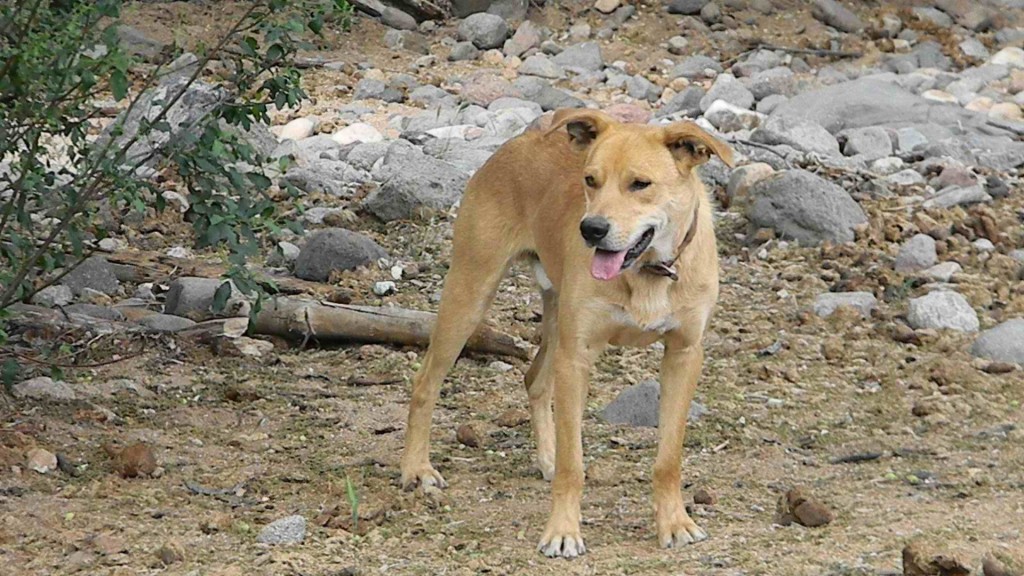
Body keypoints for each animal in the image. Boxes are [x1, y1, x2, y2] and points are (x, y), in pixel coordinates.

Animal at [401, 107, 737, 557]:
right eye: (589, 180)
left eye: (640, 184)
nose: (591, 229)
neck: (646, 273)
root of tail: (520, 142)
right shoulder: (578, 357)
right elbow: (572, 465)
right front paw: (562, 531)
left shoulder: (684, 354)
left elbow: (668, 458)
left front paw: (675, 522)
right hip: (471, 295)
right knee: (426, 382)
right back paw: (416, 469)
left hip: (556, 320)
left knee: (535, 380)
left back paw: (545, 456)